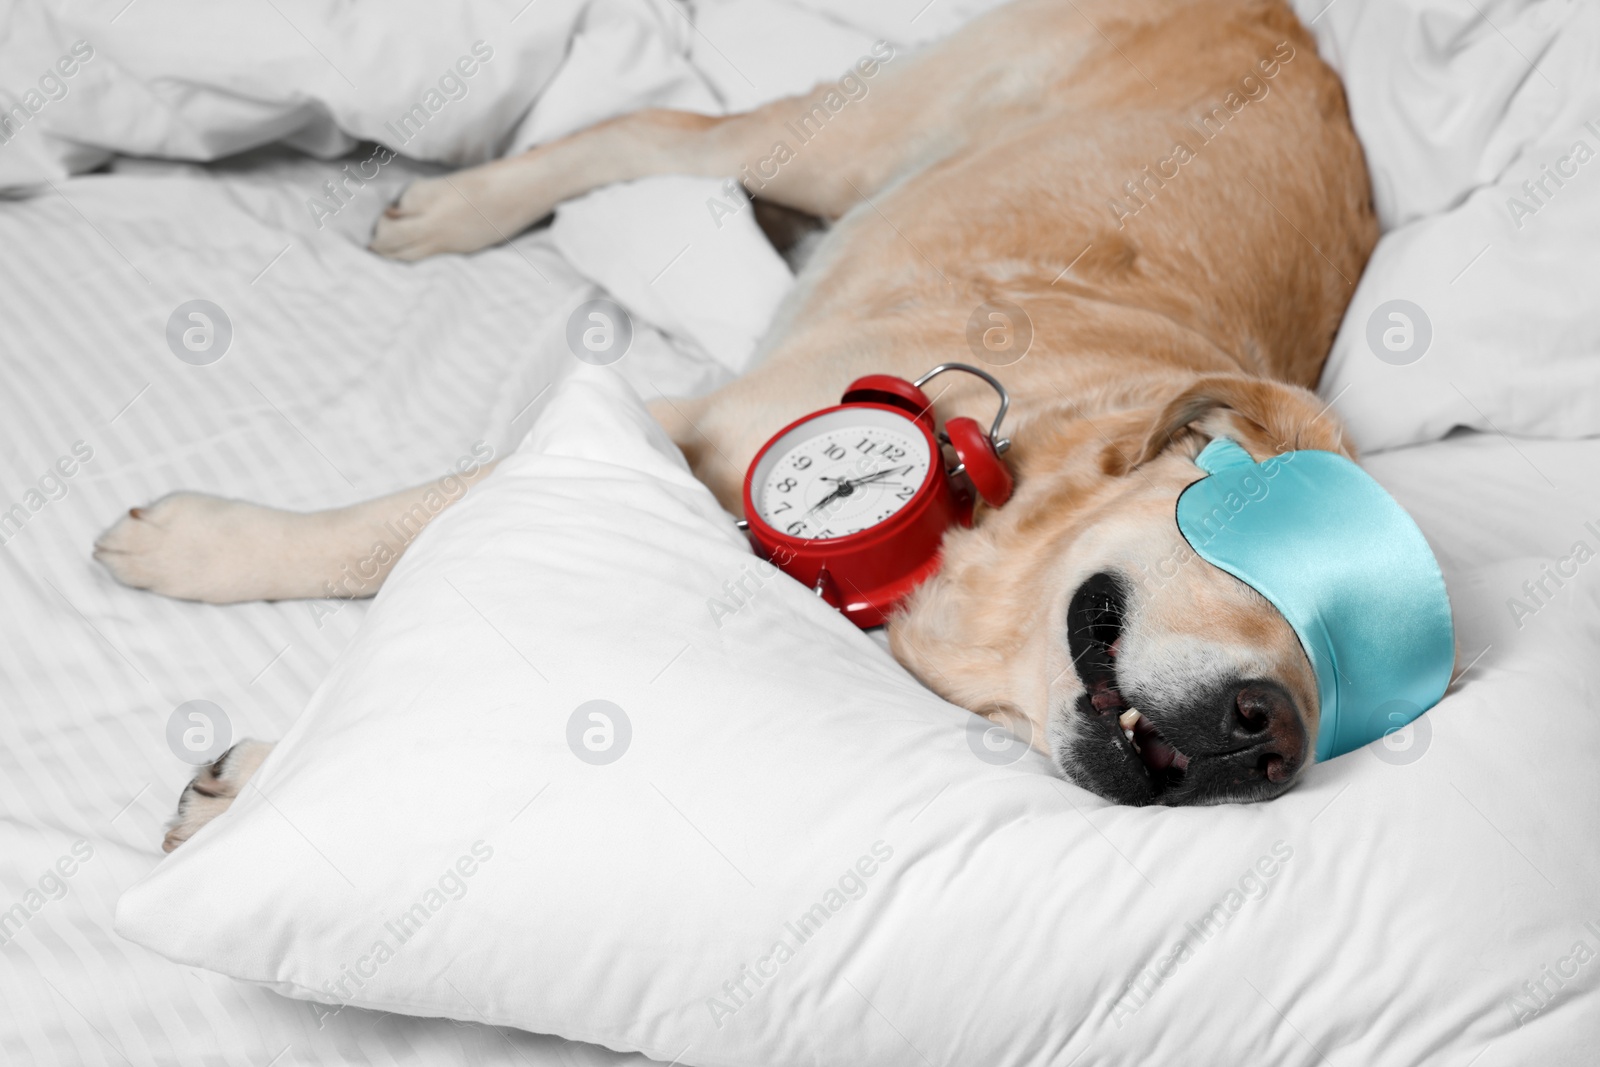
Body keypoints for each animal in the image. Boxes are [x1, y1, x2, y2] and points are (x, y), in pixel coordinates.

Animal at [96, 0, 1376, 851]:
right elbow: (379, 534)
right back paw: (461, 205)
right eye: (1259, 549)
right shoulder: (685, 429)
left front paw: (264, 785)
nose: (1270, 738)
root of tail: (1282, 14)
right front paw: (200, 548)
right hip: (864, 132)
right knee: (657, 130)